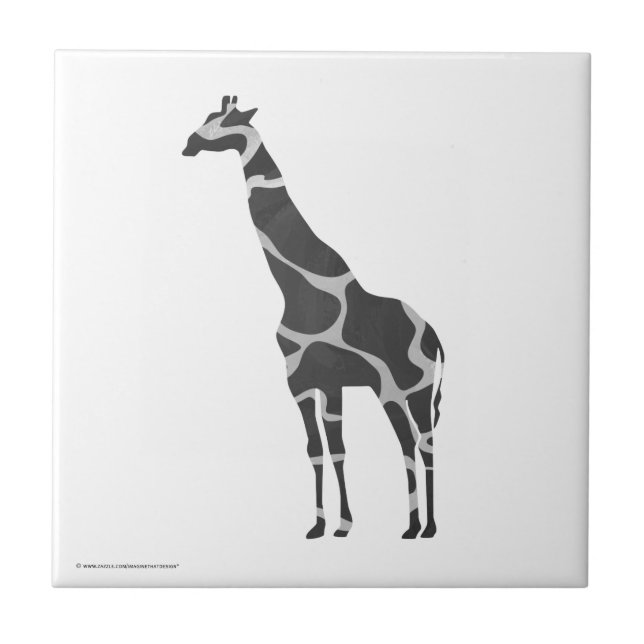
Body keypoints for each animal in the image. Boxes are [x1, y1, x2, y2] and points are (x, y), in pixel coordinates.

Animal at [183, 96, 445, 539]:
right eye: (207, 117)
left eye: (224, 121)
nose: (188, 144)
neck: (295, 288)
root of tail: (436, 337)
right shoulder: (307, 382)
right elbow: (321, 450)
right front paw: (326, 525)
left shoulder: (327, 379)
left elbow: (336, 448)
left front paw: (341, 524)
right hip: (398, 390)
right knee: (412, 443)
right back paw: (416, 525)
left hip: (410, 388)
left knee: (419, 444)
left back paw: (423, 528)